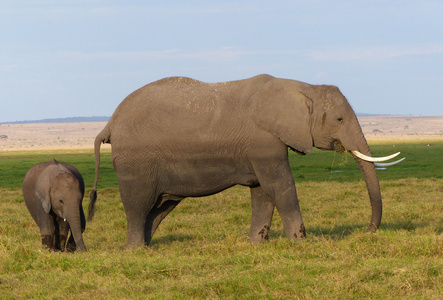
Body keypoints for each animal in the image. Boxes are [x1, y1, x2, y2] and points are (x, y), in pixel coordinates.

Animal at [88, 74, 404, 248]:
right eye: (339, 119)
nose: (365, 232)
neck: (303, 87)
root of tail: (110, 123)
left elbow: (263, 192)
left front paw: (256, 245)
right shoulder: (264, 140)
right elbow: (281, 186)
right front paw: (301, 243)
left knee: (159, 208)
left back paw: (146, 246)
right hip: (135, 160)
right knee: (138, 205)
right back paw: (134, 250)